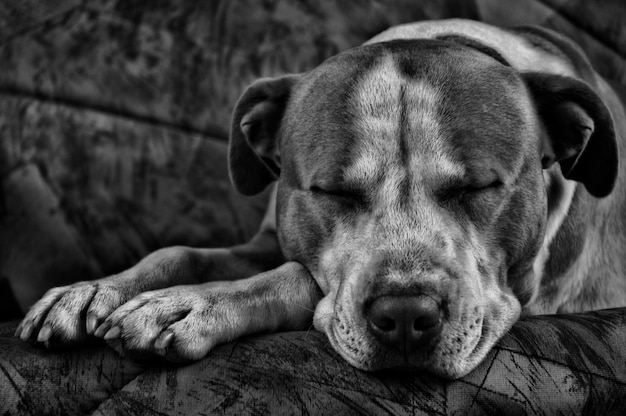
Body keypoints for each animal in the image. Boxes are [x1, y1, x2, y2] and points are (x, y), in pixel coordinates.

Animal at [14, 18, 624, 376]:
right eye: (331, 191)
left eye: (478, 187)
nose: (407, 315)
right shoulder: (271, 234)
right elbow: (178, 252)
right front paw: (95, 290)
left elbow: (298, 278)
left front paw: (187, 305)